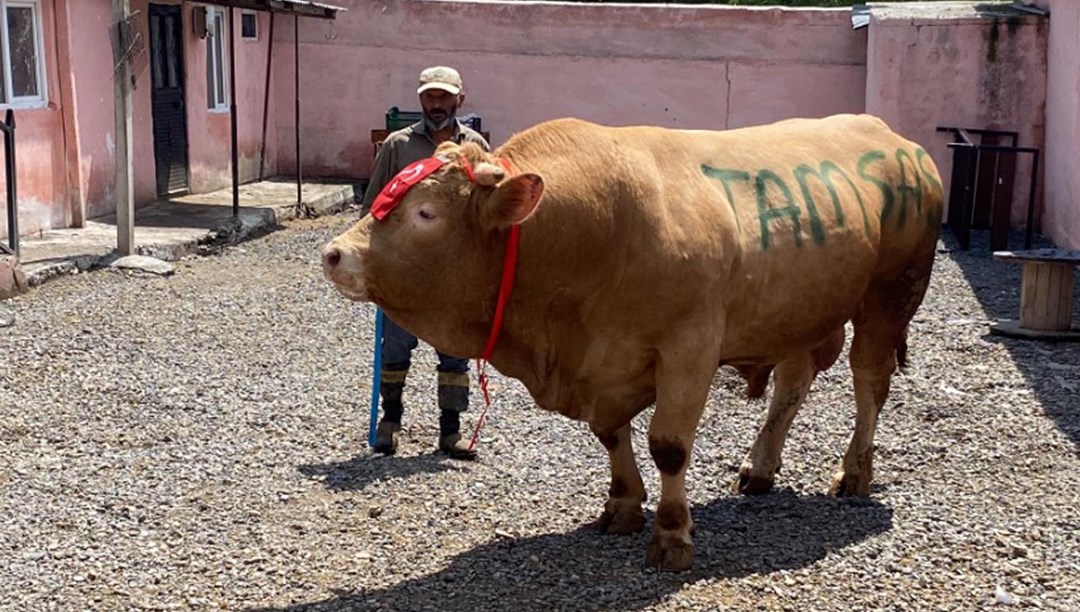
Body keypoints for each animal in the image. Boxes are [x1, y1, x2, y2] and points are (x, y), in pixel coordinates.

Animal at [321, 113, 946, 569]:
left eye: (425, 213)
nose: (334, 254)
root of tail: (893, 137)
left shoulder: (690, 348)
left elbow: (668, 445)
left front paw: (672, 536)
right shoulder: (603, 365)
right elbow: (610, 435)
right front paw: (622, 506)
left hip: (891, 294)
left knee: (870, 383)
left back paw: (854, 473)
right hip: (796, 310)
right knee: (793, 383)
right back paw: (761, 467)